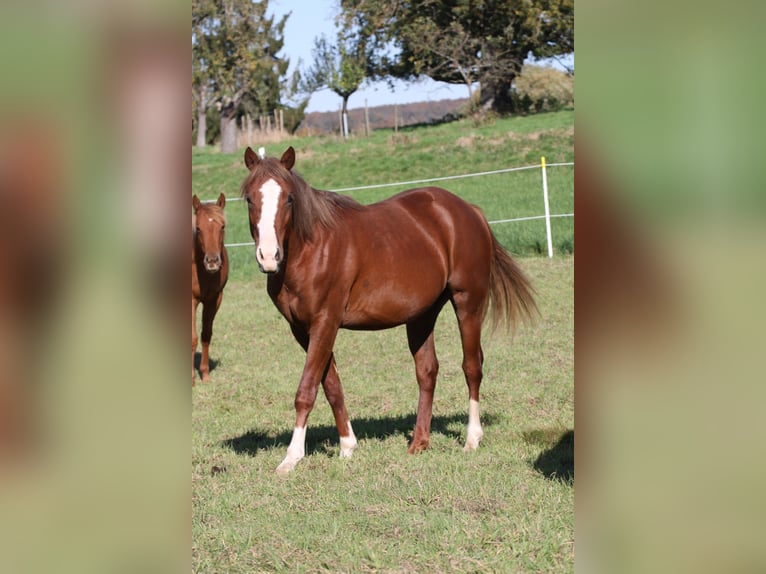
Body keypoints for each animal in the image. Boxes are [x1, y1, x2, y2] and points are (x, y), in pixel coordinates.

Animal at [243, 146, 536, 474]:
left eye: (289, 198)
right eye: (250, 199)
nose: (269, 256)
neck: (312, 249)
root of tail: (470, 211)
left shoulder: (325, 322)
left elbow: (306, 390)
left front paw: (292, 457)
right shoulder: (302, 329)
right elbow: (331, 385)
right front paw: (347, 446)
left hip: (468, 302)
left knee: (472, 366)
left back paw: (472, 438)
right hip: (422, 316)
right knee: (427, 372)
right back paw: (419, 442)